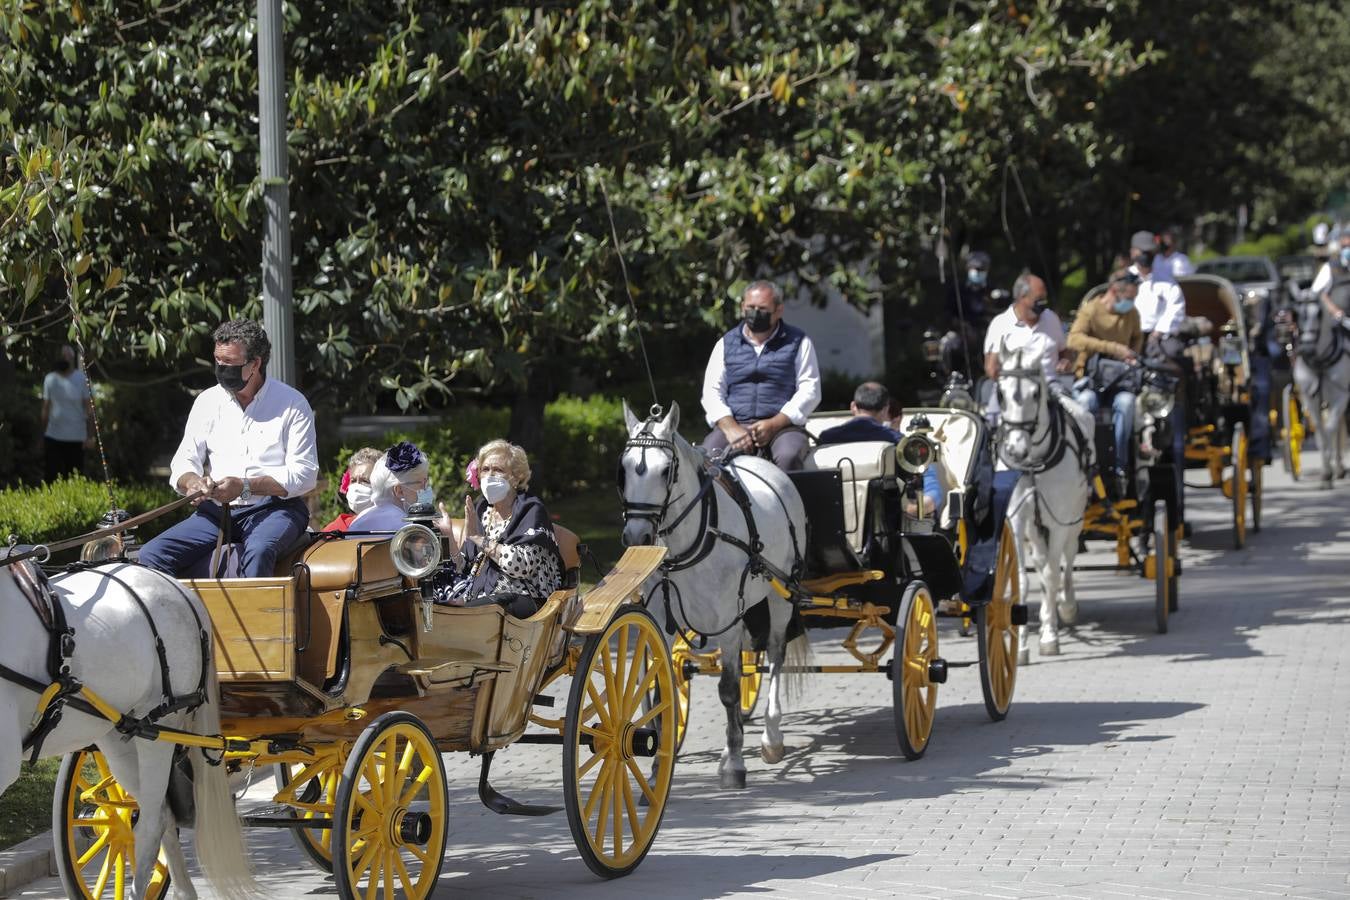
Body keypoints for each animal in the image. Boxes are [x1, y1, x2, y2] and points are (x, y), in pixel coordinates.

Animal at [618, 402, 804, 788]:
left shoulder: (727, 623)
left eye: (666, 470)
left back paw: (771, 738)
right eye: (624, 468)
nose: (637, 537)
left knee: (775, 656)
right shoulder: (662, 620)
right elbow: (663, 690)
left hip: (780, 597)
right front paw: (659, 767)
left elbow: (729, 690)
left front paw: (735, 763)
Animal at [993, 348, 1096, 666]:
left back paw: (1067, 605)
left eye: (1036, 392)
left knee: (1067, 559)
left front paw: (1050, 635)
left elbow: (1052, 575)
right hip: (1034, 526)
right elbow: (1021, 580)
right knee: (1042, 560)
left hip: (1073, 520)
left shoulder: (1058, 519)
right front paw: (1021, 645)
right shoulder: (1015, 520)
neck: (1032, 465)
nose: (1015, 449)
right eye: (1000, 392)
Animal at [1285, 288, 1350, 485]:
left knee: (1336, 428)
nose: (1306, 349)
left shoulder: (1341, 396)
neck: (1320, 361)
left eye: (1319, 313)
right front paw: (1326, 471)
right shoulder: (1309, 399)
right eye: (1297, 314)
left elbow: (1330, 430)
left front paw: (1330, 471)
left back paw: (1338, 467)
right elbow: (1321, 433)